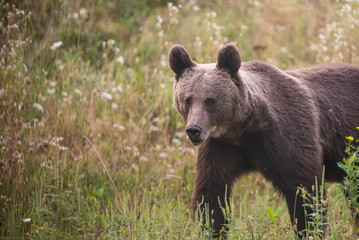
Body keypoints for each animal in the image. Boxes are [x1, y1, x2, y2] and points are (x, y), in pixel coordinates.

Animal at [169, 43, 359, 238]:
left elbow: (305, 192)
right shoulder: (221, 148)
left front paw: (309, 231)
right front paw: (212, 230)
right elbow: (211, 195)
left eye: (210, 100)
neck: (243, 129)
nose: (193, 130)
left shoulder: (287, 137)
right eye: (187, 99)